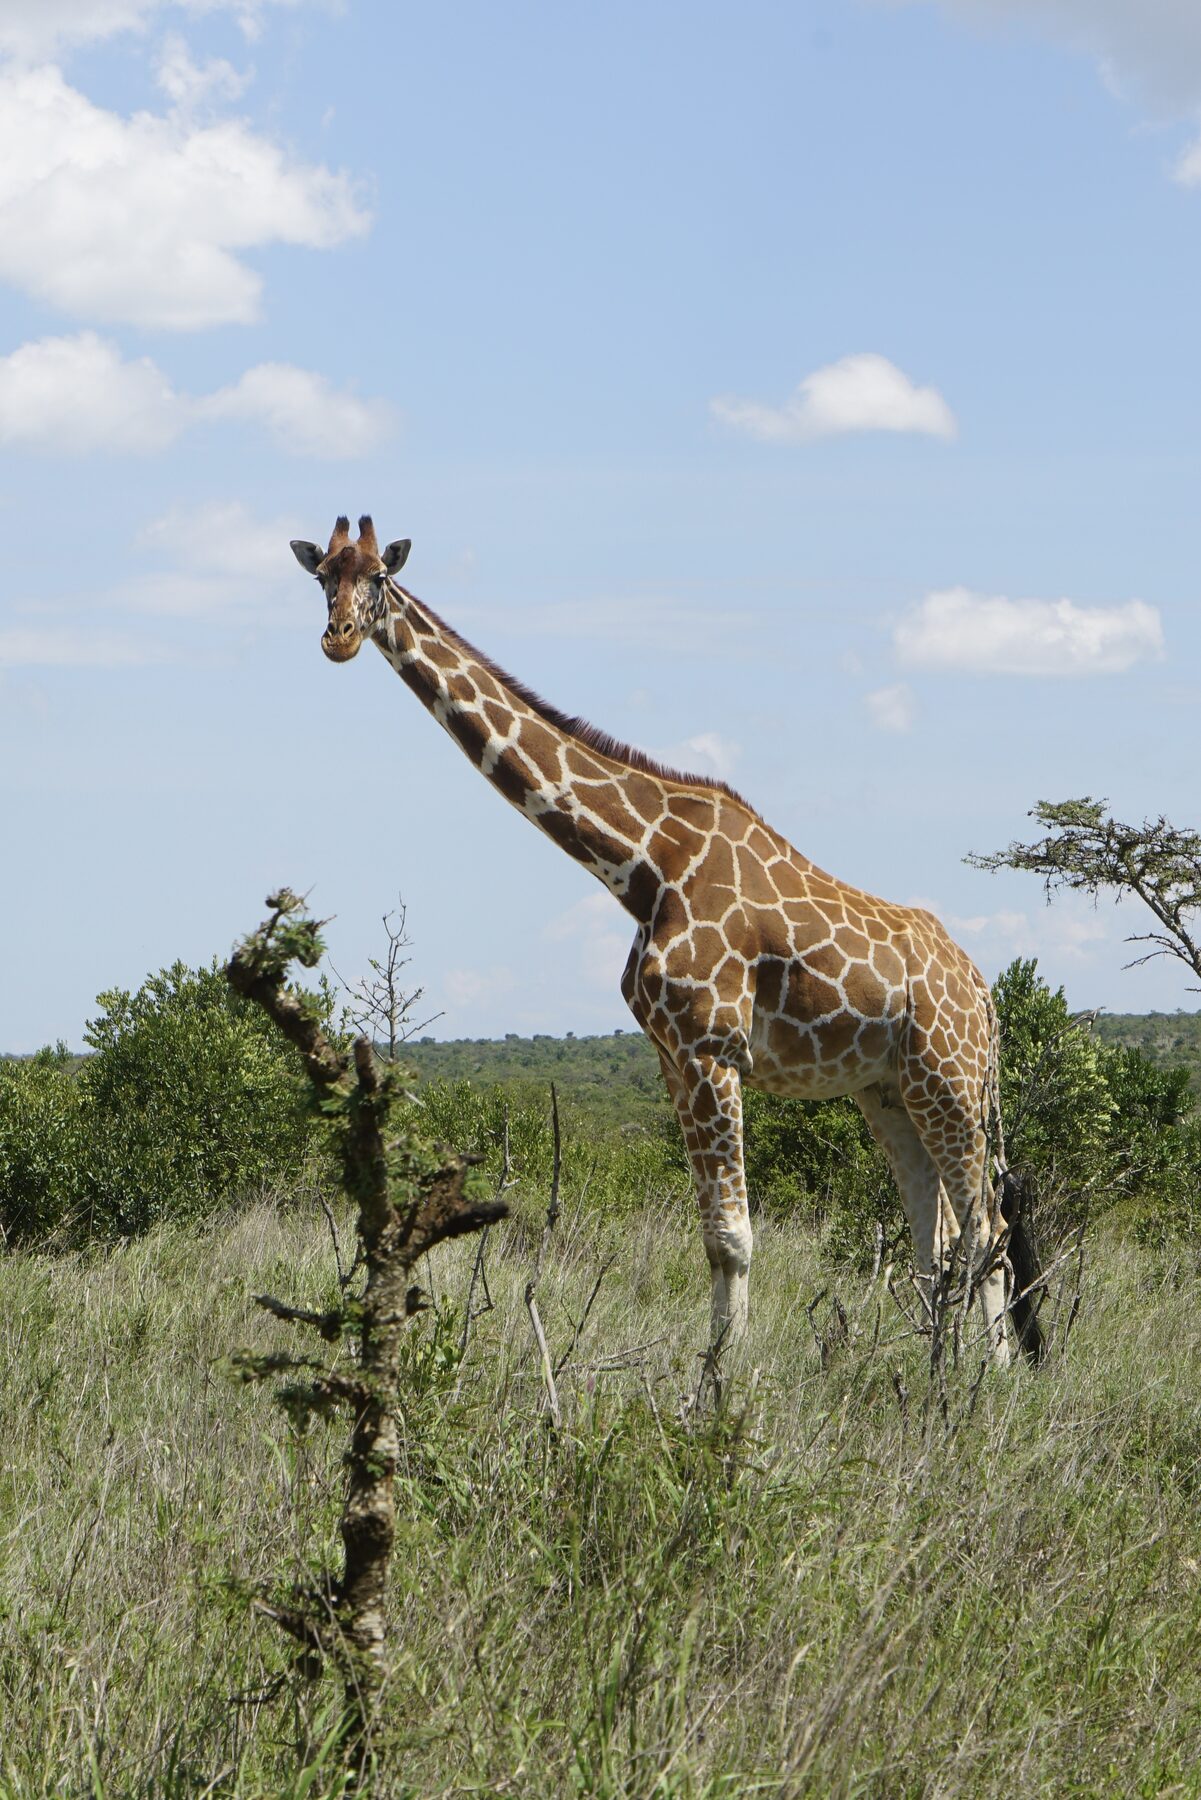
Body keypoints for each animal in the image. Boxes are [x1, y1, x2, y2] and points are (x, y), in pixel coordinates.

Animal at [291, 517, 1044, 1366]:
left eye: (379, 578)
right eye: (322, 576)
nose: (339, 638)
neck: (642, 865)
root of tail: (982, 992)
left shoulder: (713, 1050)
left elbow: (736, 1238)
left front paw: (727, 1386)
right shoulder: (672, 1055)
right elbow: (713, 1239)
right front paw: (711, 1375)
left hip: (950, 1081)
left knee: (985, 1230)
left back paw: (991, 1378)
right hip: (886, 1089)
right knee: (936, 1237)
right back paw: (931, 1370)